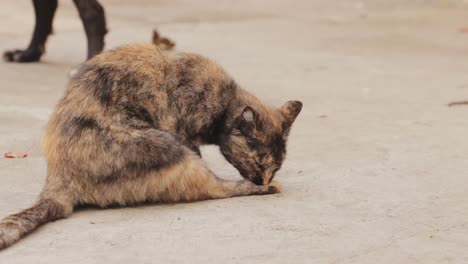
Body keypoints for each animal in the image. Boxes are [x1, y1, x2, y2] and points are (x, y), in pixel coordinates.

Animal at [0, 43, 302, 250]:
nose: (265, 179)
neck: (224, 101)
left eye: (276, 167)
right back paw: (261, 189)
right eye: (260, 162)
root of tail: (57, 180)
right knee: (215, 188)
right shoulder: (184, 135)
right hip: (167, 144)